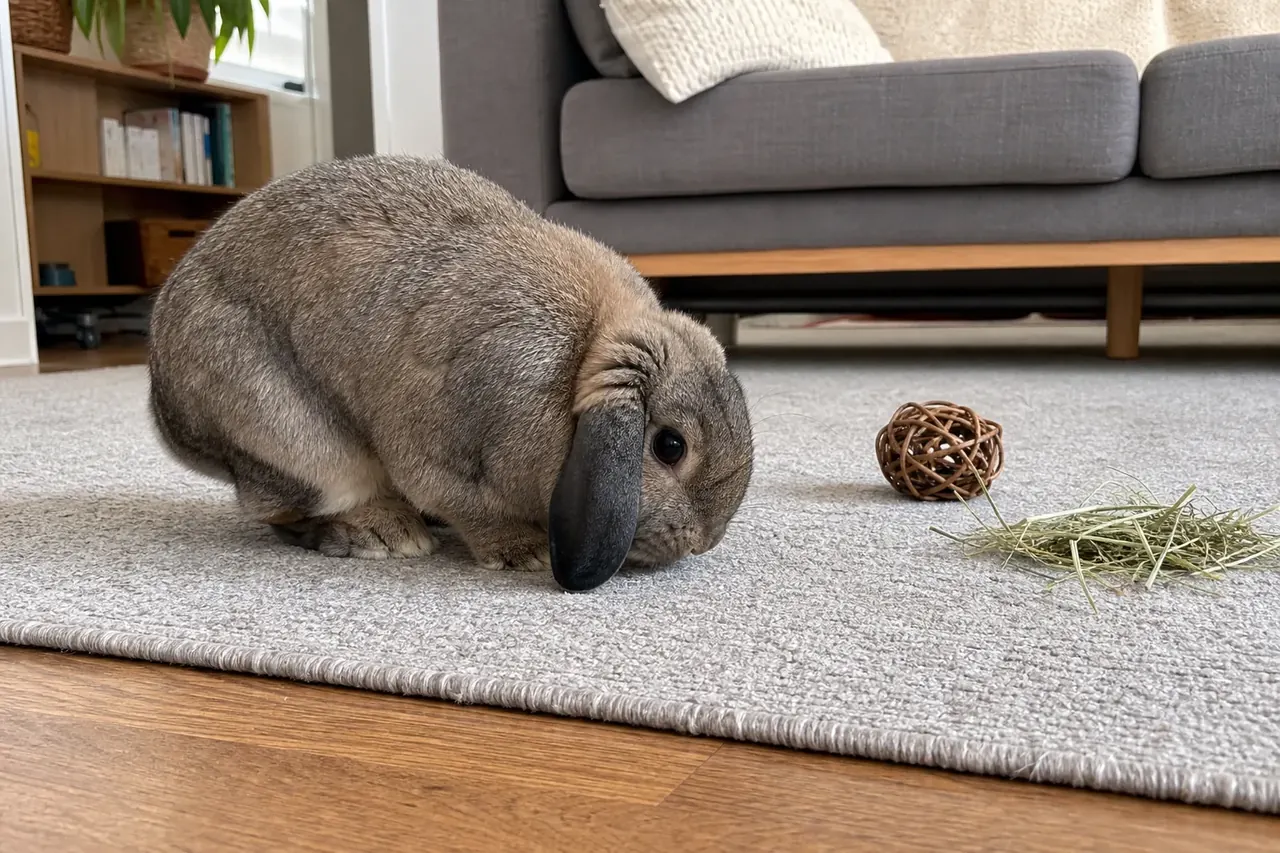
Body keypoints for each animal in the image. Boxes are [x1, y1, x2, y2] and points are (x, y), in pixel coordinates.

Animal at [147, 154, 754, 591]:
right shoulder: (447, 447)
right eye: (670, 446)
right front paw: (526, 553)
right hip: (293, 438)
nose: (703, 540)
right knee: (286, 510)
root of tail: (171, 418)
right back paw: (382, 534)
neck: (581, 354)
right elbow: (467, 504)